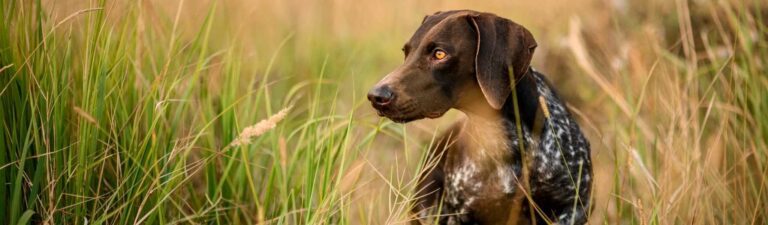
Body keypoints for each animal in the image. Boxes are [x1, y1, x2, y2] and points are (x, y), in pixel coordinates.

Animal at [368, 10, 592, 223]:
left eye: (439, 54)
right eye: (407, 52)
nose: (376, 96)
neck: (508, 139)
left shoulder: (573, 208)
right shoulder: (462, 213)